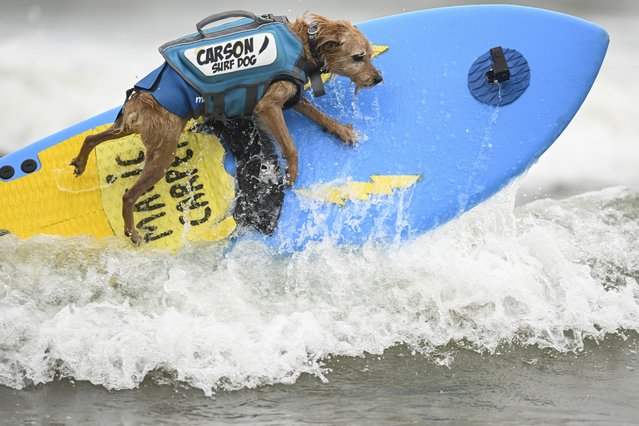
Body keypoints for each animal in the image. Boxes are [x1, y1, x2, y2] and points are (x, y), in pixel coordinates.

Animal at [71, 13, 380, 243]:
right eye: (358, 57)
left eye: (368, 54)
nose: (378, 79)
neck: (304, 44)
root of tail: (141, 98)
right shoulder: (268, 106)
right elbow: (290, 145)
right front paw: (292, 171)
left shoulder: (293, 96)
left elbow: (320, 117)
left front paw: (342, 131)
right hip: (161, 154)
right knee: (128, 195)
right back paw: (132, 230)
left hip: (130, 129)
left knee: (91, 137)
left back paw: (80, 161)